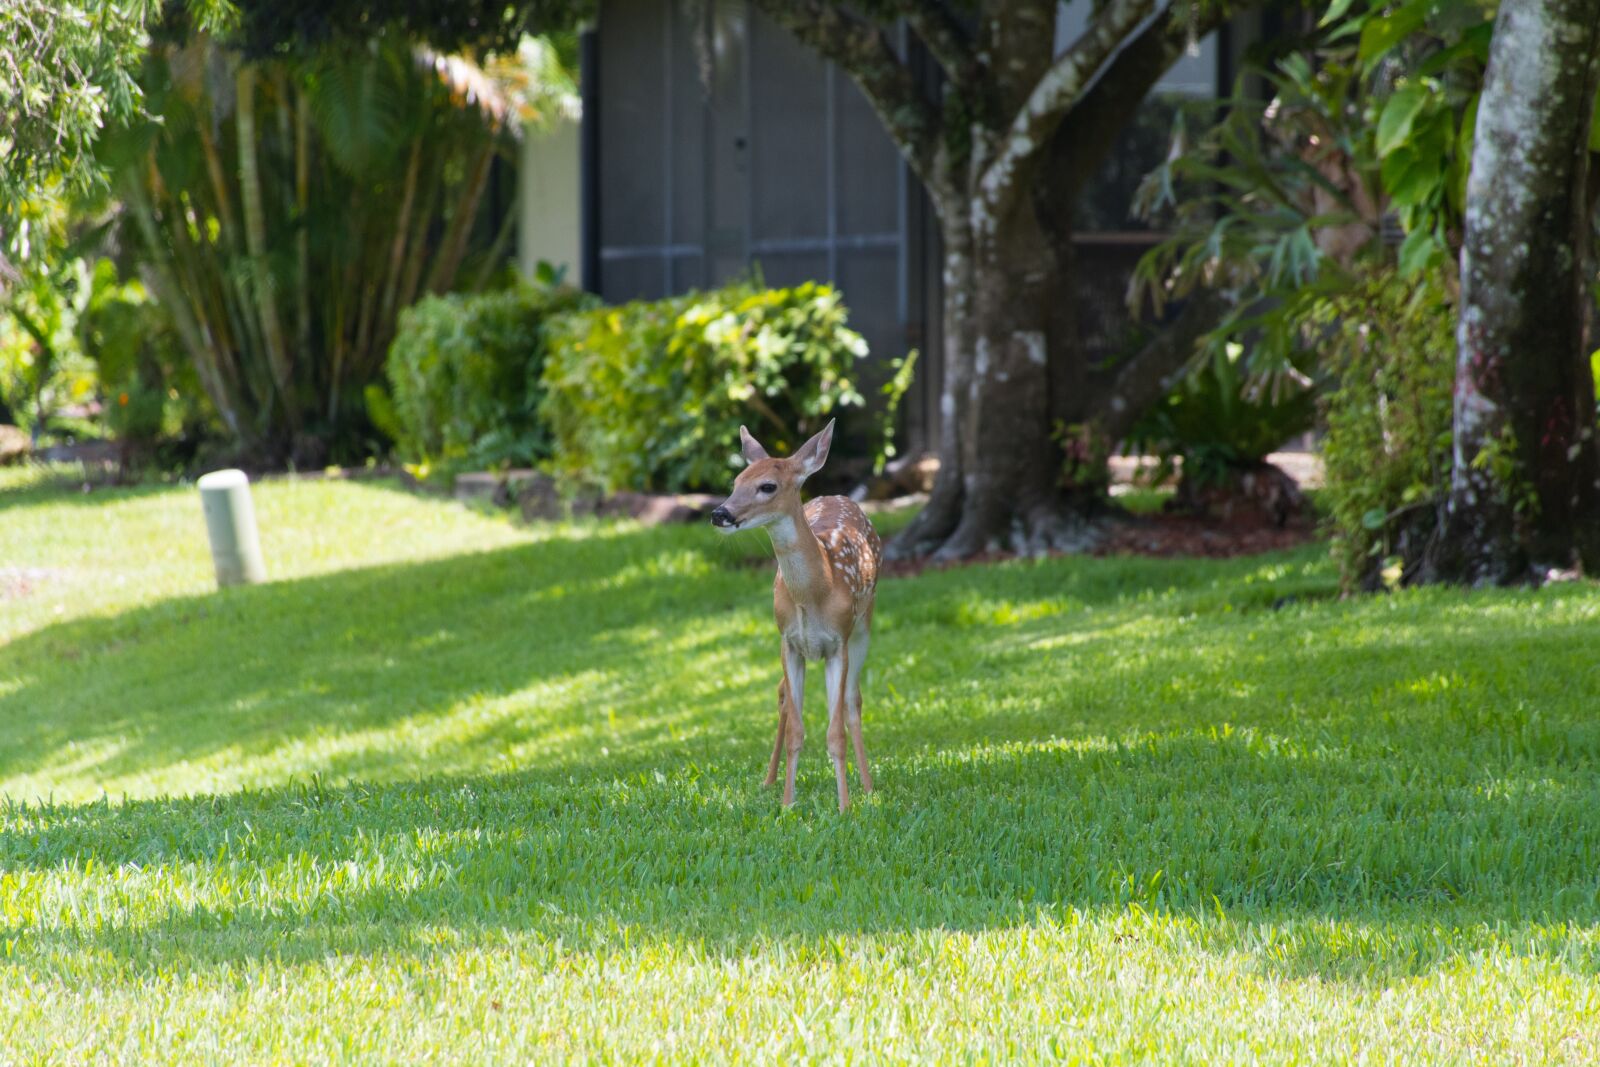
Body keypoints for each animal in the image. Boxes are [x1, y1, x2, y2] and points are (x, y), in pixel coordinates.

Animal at [709, 420, 881, 811]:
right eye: (736, 481)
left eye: (767, 486)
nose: (720, 513)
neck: (816, 590)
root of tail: (840, 496)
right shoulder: (787, 641)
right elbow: (795, 729)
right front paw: (788, 804)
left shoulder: (837, 643)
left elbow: (835, 732)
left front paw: (845, 807)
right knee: (784, 699)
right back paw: (769, 781)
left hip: (864, 625)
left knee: (853, 701)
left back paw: (867, 788)